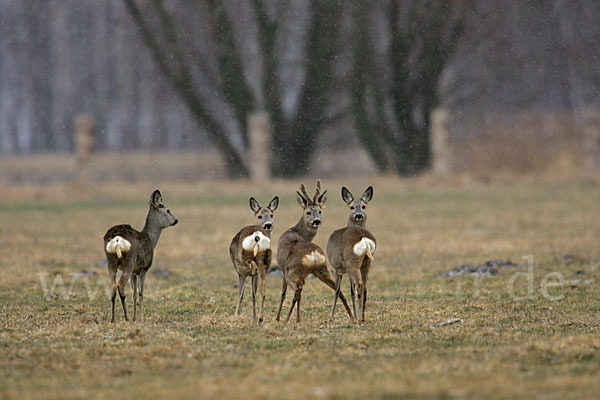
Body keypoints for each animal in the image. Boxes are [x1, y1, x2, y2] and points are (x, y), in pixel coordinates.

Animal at [103, 189, 177, 324]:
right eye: (168, 210)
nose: (176, 220)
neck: (151, 239)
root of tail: (117, 239)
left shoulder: (134, 271)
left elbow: (134, 293)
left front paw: (135, 318)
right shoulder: (143, 268)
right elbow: (141, 293)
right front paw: (141, 318)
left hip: (111, 261)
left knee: (113, 287)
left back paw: (113, 318)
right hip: (129, 261)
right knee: (120, 285)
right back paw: (126, 317)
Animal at [230, 195, 278, 324]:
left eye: (271, 214)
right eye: (259, 215)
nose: (268, 224)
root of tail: (257, 235)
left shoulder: (240, 272)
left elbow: (241, 294)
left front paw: (236, 314)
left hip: (244, 258)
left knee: (253, 270)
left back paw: (256, 318)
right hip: (266, 260)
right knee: (262, 290)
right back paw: (260, 318)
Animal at [276, 180, 354, 322]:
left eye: (320, 211)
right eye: (308, 212)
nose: (316, 221)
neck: (296, 230)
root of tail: (313, 254)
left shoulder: (283, 269)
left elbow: (283, 294)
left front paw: (278, 318)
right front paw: (297, 319)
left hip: (293, 273)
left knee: (297, 291)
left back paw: (286, 319)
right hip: (322, 269)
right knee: (338, 290)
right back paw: (351, 316)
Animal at [326, 187, 378, 322]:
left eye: (364, 206)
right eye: (352, 207)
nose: (359, 215)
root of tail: (364, 239)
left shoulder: (337, 268)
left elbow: (337, 291)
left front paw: (331, 316)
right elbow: (351, 290)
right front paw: (353, 315)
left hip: (351, 262)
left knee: (359, 284)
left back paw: (358, 318)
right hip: (366, 262)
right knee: (364, 286)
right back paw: (362, 317)